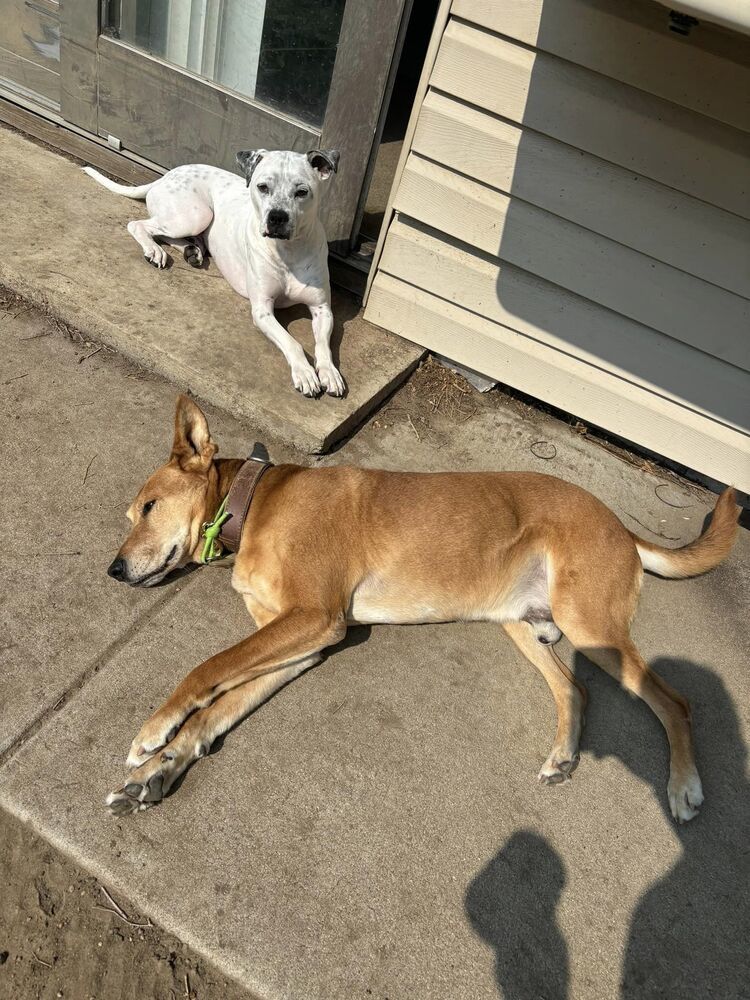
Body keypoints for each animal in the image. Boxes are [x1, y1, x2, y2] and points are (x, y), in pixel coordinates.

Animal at [83, 149, 346, 398]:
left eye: (302, 191)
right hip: (195, 215)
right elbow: (292, 343)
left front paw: (329, 372)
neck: (289, 251)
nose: (277, 216)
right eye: (263, 187)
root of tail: (168, 174)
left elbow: (323, 346)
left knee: (177, 237)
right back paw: (154, 250)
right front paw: (304, 373)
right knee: (139, 225)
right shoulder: (262, 310)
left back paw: (191, 251)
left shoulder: (323, 309)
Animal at [104, 394, 740, 824]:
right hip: (523, 623)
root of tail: (620, 524)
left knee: (675, 701)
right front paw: (161, 770)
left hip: (590, 625)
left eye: (149, 507)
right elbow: (218, 707)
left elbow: (205, 670)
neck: (255, 503)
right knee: (574, 688)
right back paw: (563, 755)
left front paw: (155, 732)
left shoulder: (314, 619)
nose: (113, 571)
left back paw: (684, 786)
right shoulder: (302, 645)